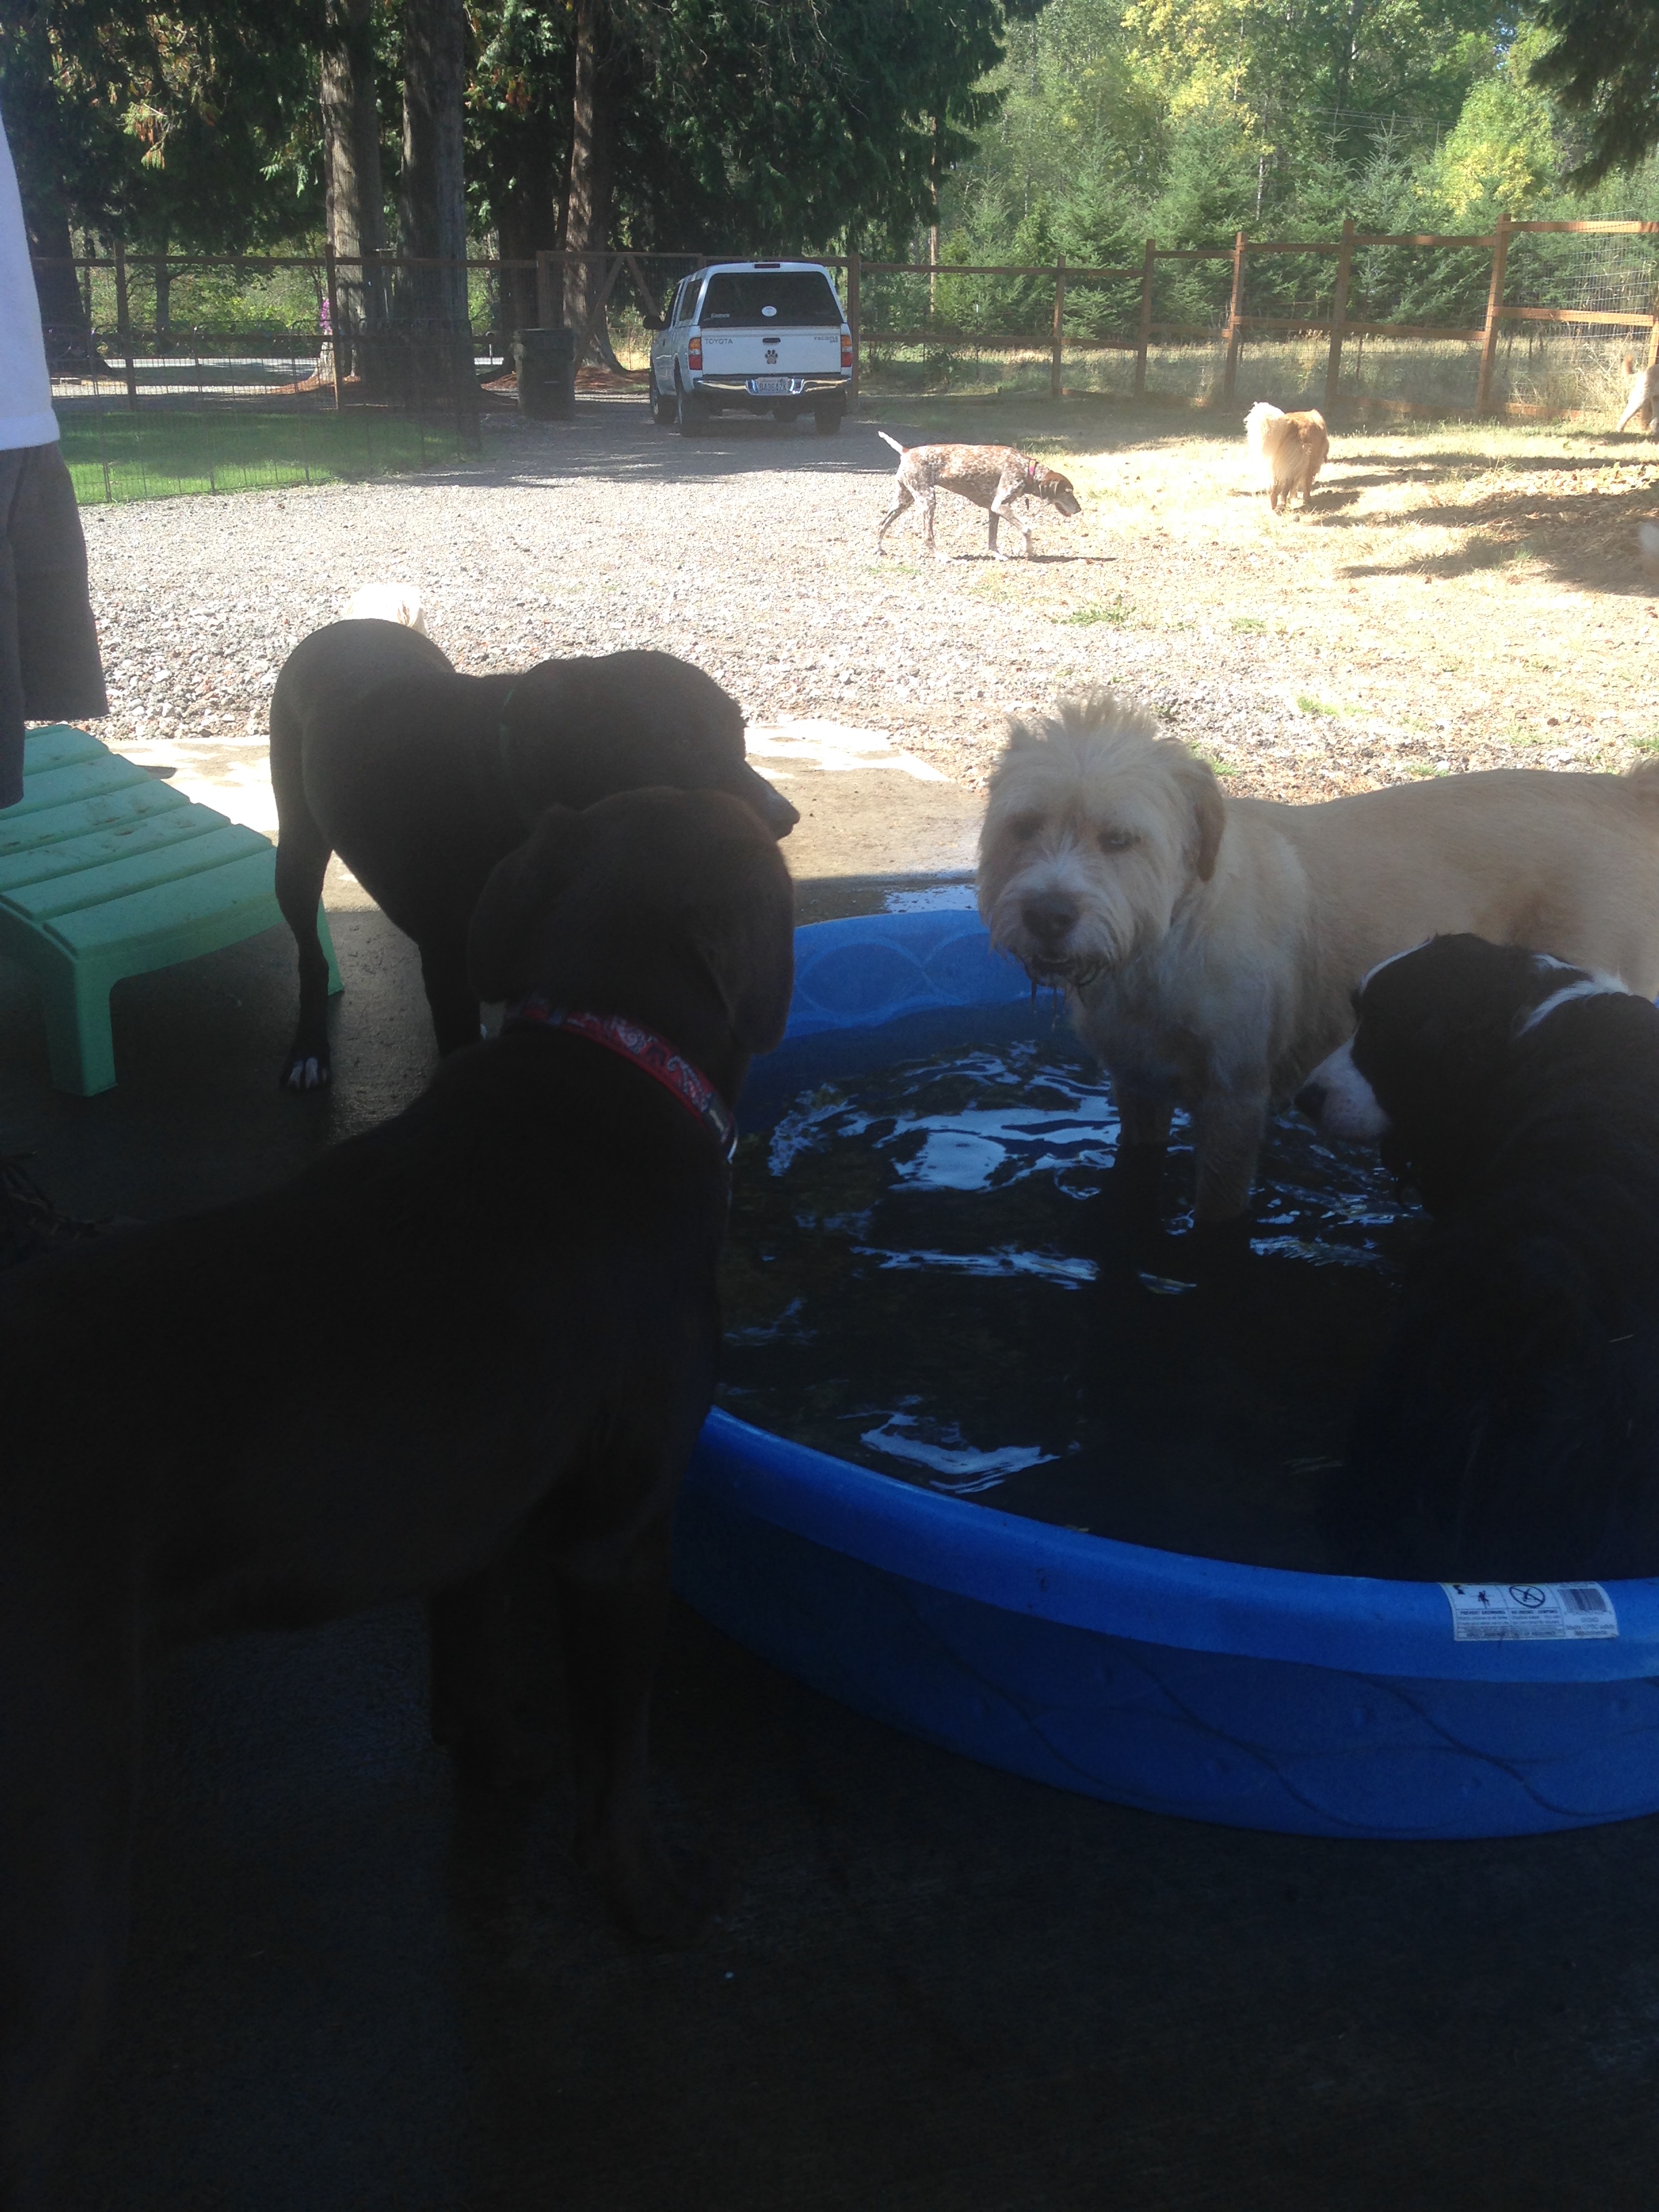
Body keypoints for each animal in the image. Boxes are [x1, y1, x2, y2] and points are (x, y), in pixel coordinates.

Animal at [0, 785, 795, 2202]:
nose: (785, 804)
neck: (607, 1048)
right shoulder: (618, 1538)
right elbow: (621, 1758)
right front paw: (649, 1898)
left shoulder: (473, 1503)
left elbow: (470, 1665)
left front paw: (499, 1755)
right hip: (57, 1890)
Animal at [271, 624, 799, 1087]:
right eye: (680, 741)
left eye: (741, 731)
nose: (785, 817)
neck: (508, 779)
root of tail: (345, 625)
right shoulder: (446, 962)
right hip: (296, 855)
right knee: (311, 956)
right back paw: (309, 1051)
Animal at [875, 432, 1081, 559]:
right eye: (1068, 492)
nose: (1079, 510)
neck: (1026, 469)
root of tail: (906, 451)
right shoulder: (1000, 505)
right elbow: (1027, 529)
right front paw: (1029, 550)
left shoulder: (994, 510)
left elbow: (992, 539)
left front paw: (998, 555)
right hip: (927, 500)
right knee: (927, 536)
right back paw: (942, 557)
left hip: (904, 500)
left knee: (882, 524)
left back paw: (878, 549)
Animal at [976, 693, 1659, 1222]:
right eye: (1024, 826)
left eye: (1119, 840)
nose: (1048, 916)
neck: (1167, 938)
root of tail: (1629, 792)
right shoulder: (1137, 1087)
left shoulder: (1234, 1104)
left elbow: (1217, 1212)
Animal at [1244, 402, 1328, 512]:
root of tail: (1290, 424)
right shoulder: (1310, 466)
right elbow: (1307, 485)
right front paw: (1307, 500)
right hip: (1293, 468)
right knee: (1285, 490)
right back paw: (1282, 506)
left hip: (1277, 468)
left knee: (1274, 490)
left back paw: (1274, 507)